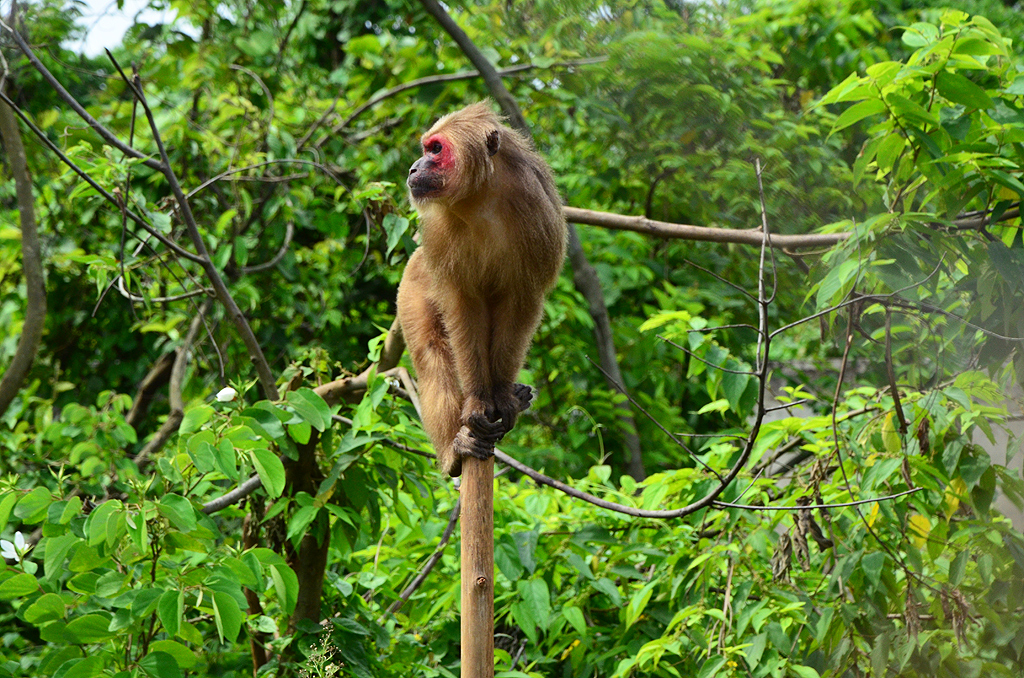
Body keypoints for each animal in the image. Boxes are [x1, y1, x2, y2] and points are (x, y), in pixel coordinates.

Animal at [395, 102, 569, 477]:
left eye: (435, 150)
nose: (414, 167)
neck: (480, 200)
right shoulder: (437, 234)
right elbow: (463, 306)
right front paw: (478, 399)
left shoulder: (537, 214)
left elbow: (521, 298)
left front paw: (502, 394)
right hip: (412, 284)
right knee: (432, 352)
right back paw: (456, 450)